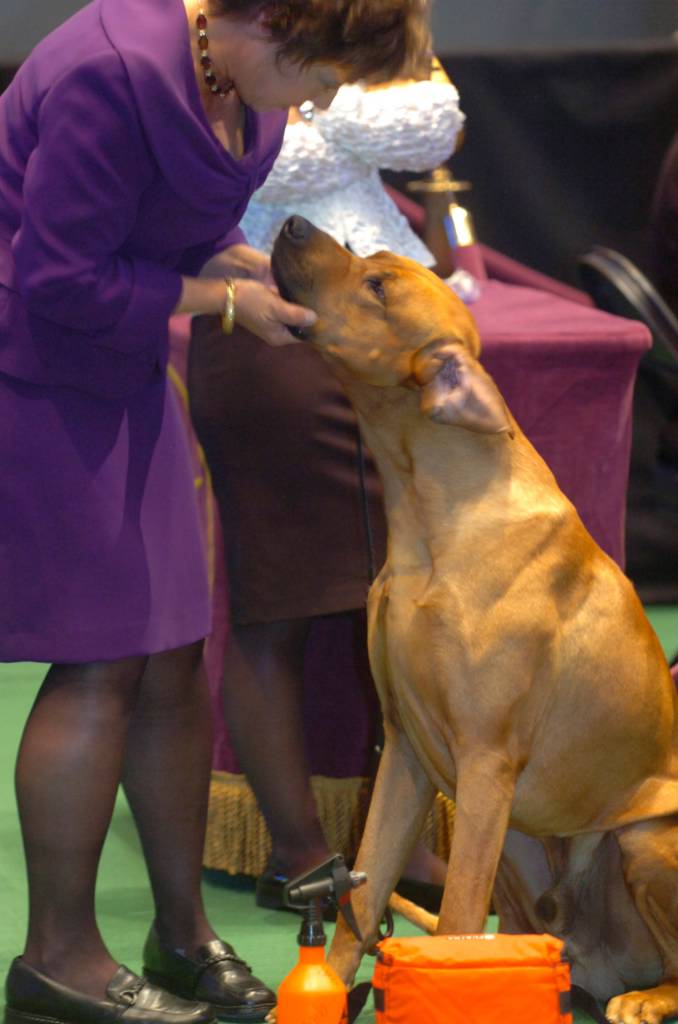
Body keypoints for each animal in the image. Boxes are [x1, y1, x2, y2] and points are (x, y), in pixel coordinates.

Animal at [274, 218, 678, 1024]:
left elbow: (457, 915)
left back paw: (649, 997)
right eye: (368, 263)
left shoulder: (487, 763)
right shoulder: (401, 752)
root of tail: (598, 965)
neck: (433, 518)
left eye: (378, 287)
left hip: (644, 836)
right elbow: (358, 899)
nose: (295, 223)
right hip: (519, 845)